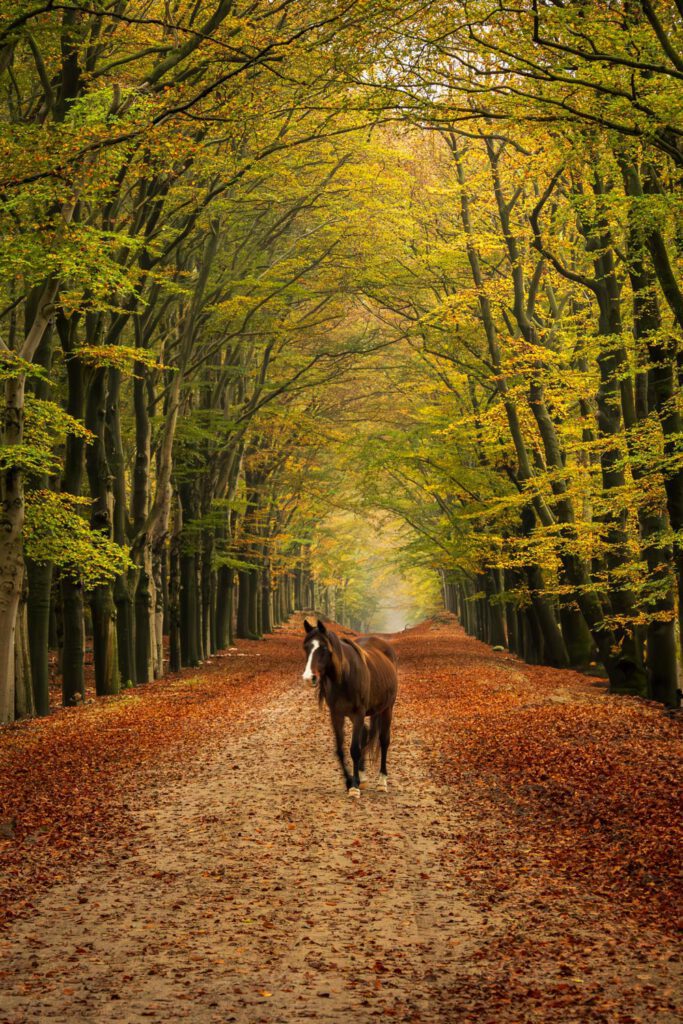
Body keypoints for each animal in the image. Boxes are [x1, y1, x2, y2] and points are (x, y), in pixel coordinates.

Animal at [301, 618, 399, 798]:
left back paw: (382, 781)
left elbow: (354, 749)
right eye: (306, 647)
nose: (308, 678)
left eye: (323, 648)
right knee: (366, 733)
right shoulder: (336, 715)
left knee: (384, 740)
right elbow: (340, 749)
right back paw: (363, 776)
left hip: (387, 708)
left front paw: (354, 786)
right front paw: (350, 781)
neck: (344, 676)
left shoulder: (358, 714)